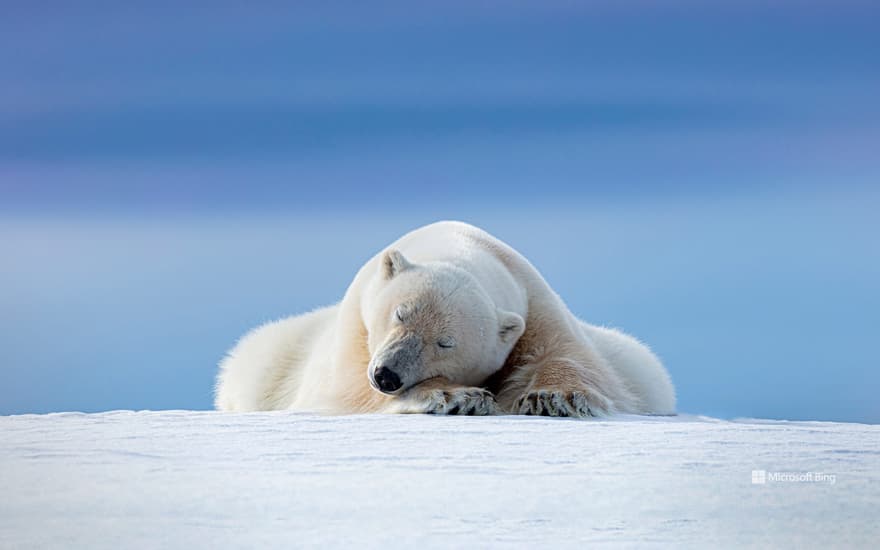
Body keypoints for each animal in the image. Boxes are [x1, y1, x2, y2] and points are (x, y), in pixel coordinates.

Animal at [213, 221, 672, 418]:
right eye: (400, 313)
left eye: (445, 342)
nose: (387, 375)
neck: (458, 246)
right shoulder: (355, 326)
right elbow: (345, 389)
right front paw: (456, 396)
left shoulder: (534, 302)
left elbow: (574, 357)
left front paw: (550, 396)